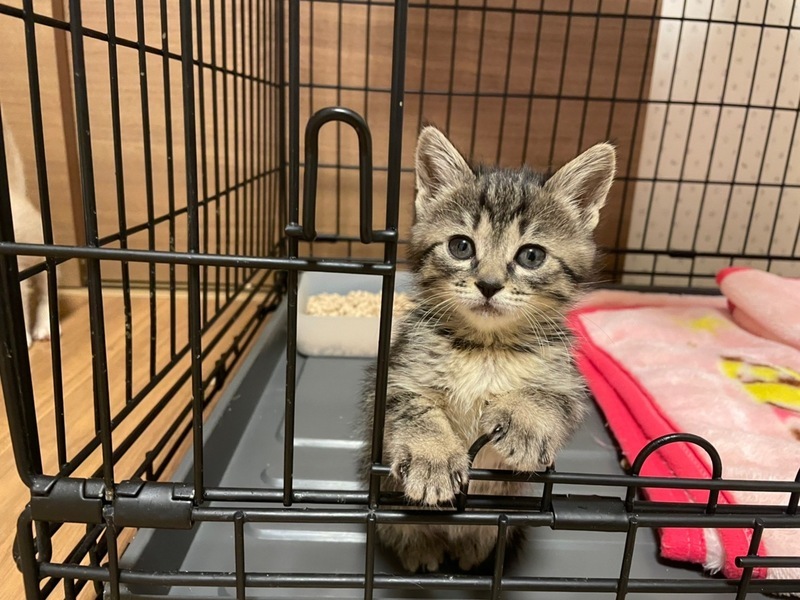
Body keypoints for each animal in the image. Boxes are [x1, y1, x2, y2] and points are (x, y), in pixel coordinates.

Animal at [360, 126, 615, 573]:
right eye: (461, 247)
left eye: (531, 255)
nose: (490, 284)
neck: (486, 348)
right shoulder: (395, 375)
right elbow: (411, 407)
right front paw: (432, 457)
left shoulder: (569, 384)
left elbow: (550, 399)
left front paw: (525, 423)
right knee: (404, 531)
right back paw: (421, 551)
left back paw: (471, 554)